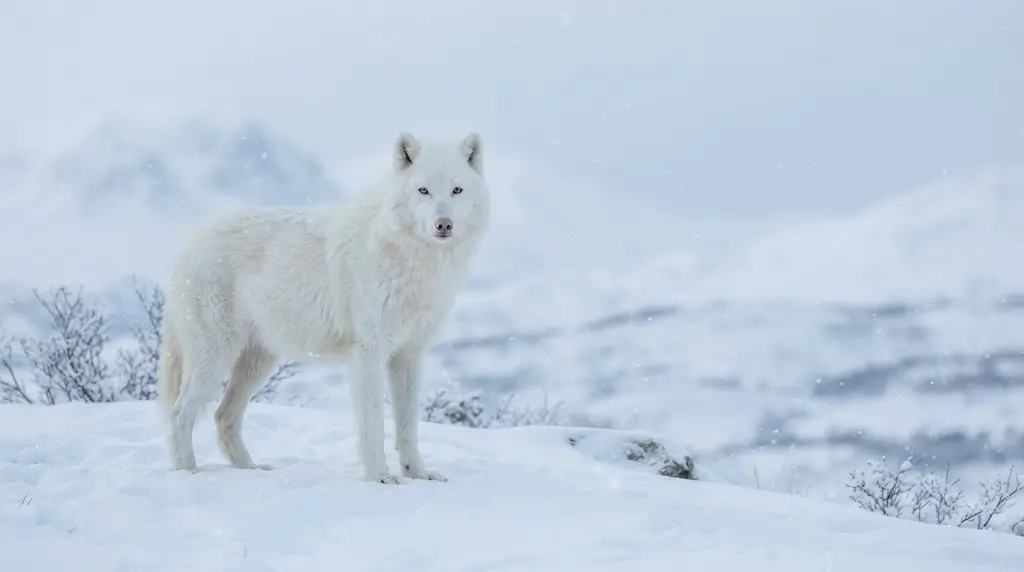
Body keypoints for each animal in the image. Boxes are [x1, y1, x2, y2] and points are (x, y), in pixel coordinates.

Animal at [155, 132, 490, 483]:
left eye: (456, 190)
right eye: (423, 190)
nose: (444, 224)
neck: (414, 262)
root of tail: (187, 242)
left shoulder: (409, 355)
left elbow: (408, 425)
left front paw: (418, 475)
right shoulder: (368, 352)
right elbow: (374, 423)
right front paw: (380, 477)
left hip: (258, 362)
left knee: (224, 415)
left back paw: (251, 469)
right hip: (216, 356)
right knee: (180, 414)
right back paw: (189, 472)